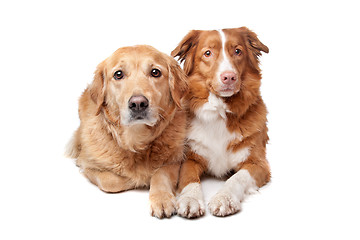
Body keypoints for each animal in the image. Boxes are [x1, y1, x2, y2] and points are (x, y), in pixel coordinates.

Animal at [172, 26, 270, 218]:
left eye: (238, 51)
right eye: (208, 53)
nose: (229, 77)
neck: (219, 111)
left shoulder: (258, 164)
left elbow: (236, 178)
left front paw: (224, 198)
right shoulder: (190, 158)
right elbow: (189, 179)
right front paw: (190, 199)